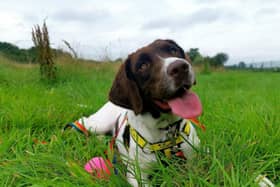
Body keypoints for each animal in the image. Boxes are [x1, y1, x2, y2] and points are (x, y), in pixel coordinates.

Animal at [71, 39, 202, 186]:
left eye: (173, 50)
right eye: (143, 66)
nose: (180, 67)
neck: (166, 130)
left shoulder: (194, 159)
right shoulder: (137, 175)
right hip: (98, 124)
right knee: (82, 122)